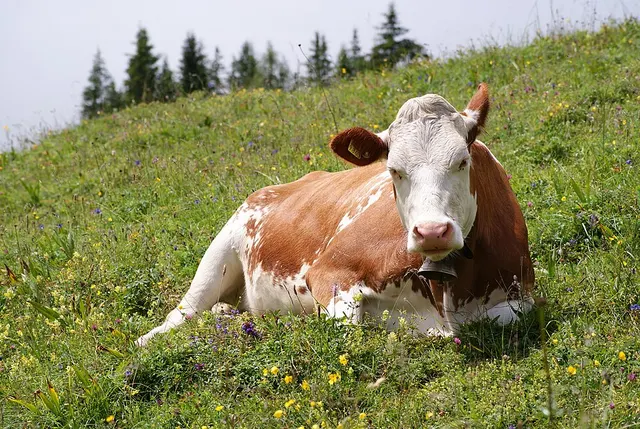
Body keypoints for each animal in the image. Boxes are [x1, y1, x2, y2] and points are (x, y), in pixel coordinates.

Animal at [136, 83, 534, 347]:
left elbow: (508, 316)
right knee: (182, 314)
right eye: (394, 170)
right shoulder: (329, 271)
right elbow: (349, 326)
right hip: (219, 253)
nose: (432, 231)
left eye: (462, 161)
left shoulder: (523, 294)